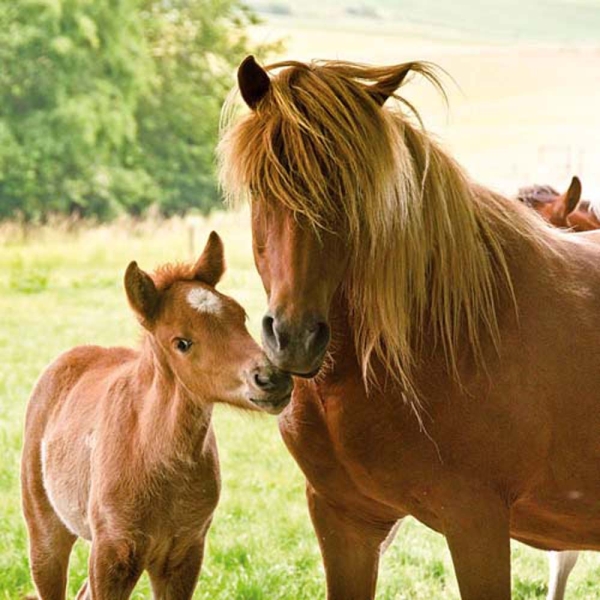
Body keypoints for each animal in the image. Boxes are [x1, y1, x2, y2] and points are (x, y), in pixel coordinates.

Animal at [22, 232, 294, 600]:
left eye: (240, 317)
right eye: (182, 342)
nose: (271, 379)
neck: (155, 454)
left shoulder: (184, 553)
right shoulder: (113, 552)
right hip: (46, 533)